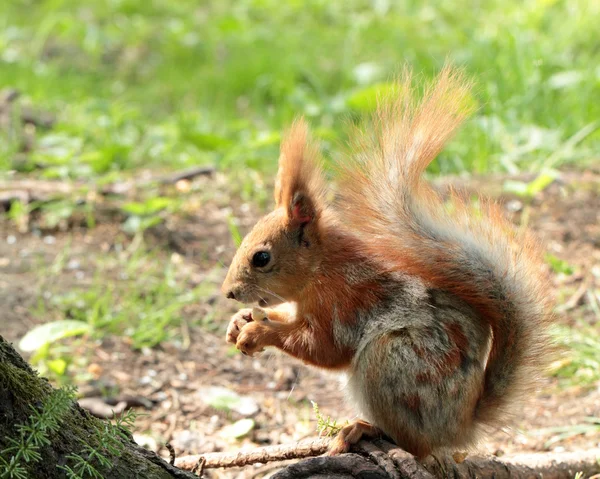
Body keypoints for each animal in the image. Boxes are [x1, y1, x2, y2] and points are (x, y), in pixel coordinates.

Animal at [220, 65, 552, 460]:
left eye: (262, 257)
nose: (228, 293)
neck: (321, 270)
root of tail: (460, 425)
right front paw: (240, 322)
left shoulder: (344, 305)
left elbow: (323, 348)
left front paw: (260, 331)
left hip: (391, 362)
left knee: (415, 444)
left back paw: (364, 428)